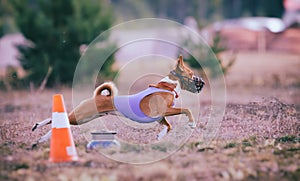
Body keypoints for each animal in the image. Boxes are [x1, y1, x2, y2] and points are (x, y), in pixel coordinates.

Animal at [33, 55, 206, 144]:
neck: (167, 86)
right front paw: (192, 123)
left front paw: (161, 136)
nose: (201, 82)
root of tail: (97, 96)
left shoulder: (159, 117)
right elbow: (187, 110)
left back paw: (39, 133)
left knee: (61, 120)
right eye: (192, 74)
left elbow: (168, 126)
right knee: (62, 119)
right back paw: (40, 132)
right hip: (81, 115)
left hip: (85, 117)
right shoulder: (165, 110)